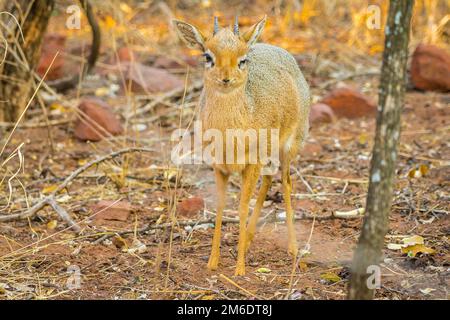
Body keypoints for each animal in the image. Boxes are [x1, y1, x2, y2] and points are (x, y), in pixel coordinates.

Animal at [174, 15, 312, 276]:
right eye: (207, 56)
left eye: (242, 59)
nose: (226, 78)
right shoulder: (220, 167)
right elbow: (220, 208)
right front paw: (212, 261)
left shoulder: (251, 164)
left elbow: (241, 208)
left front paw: (239, 268)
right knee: (268, 180)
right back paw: (247, 240)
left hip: (289, 148)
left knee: (286, 182)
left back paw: (293, 248)